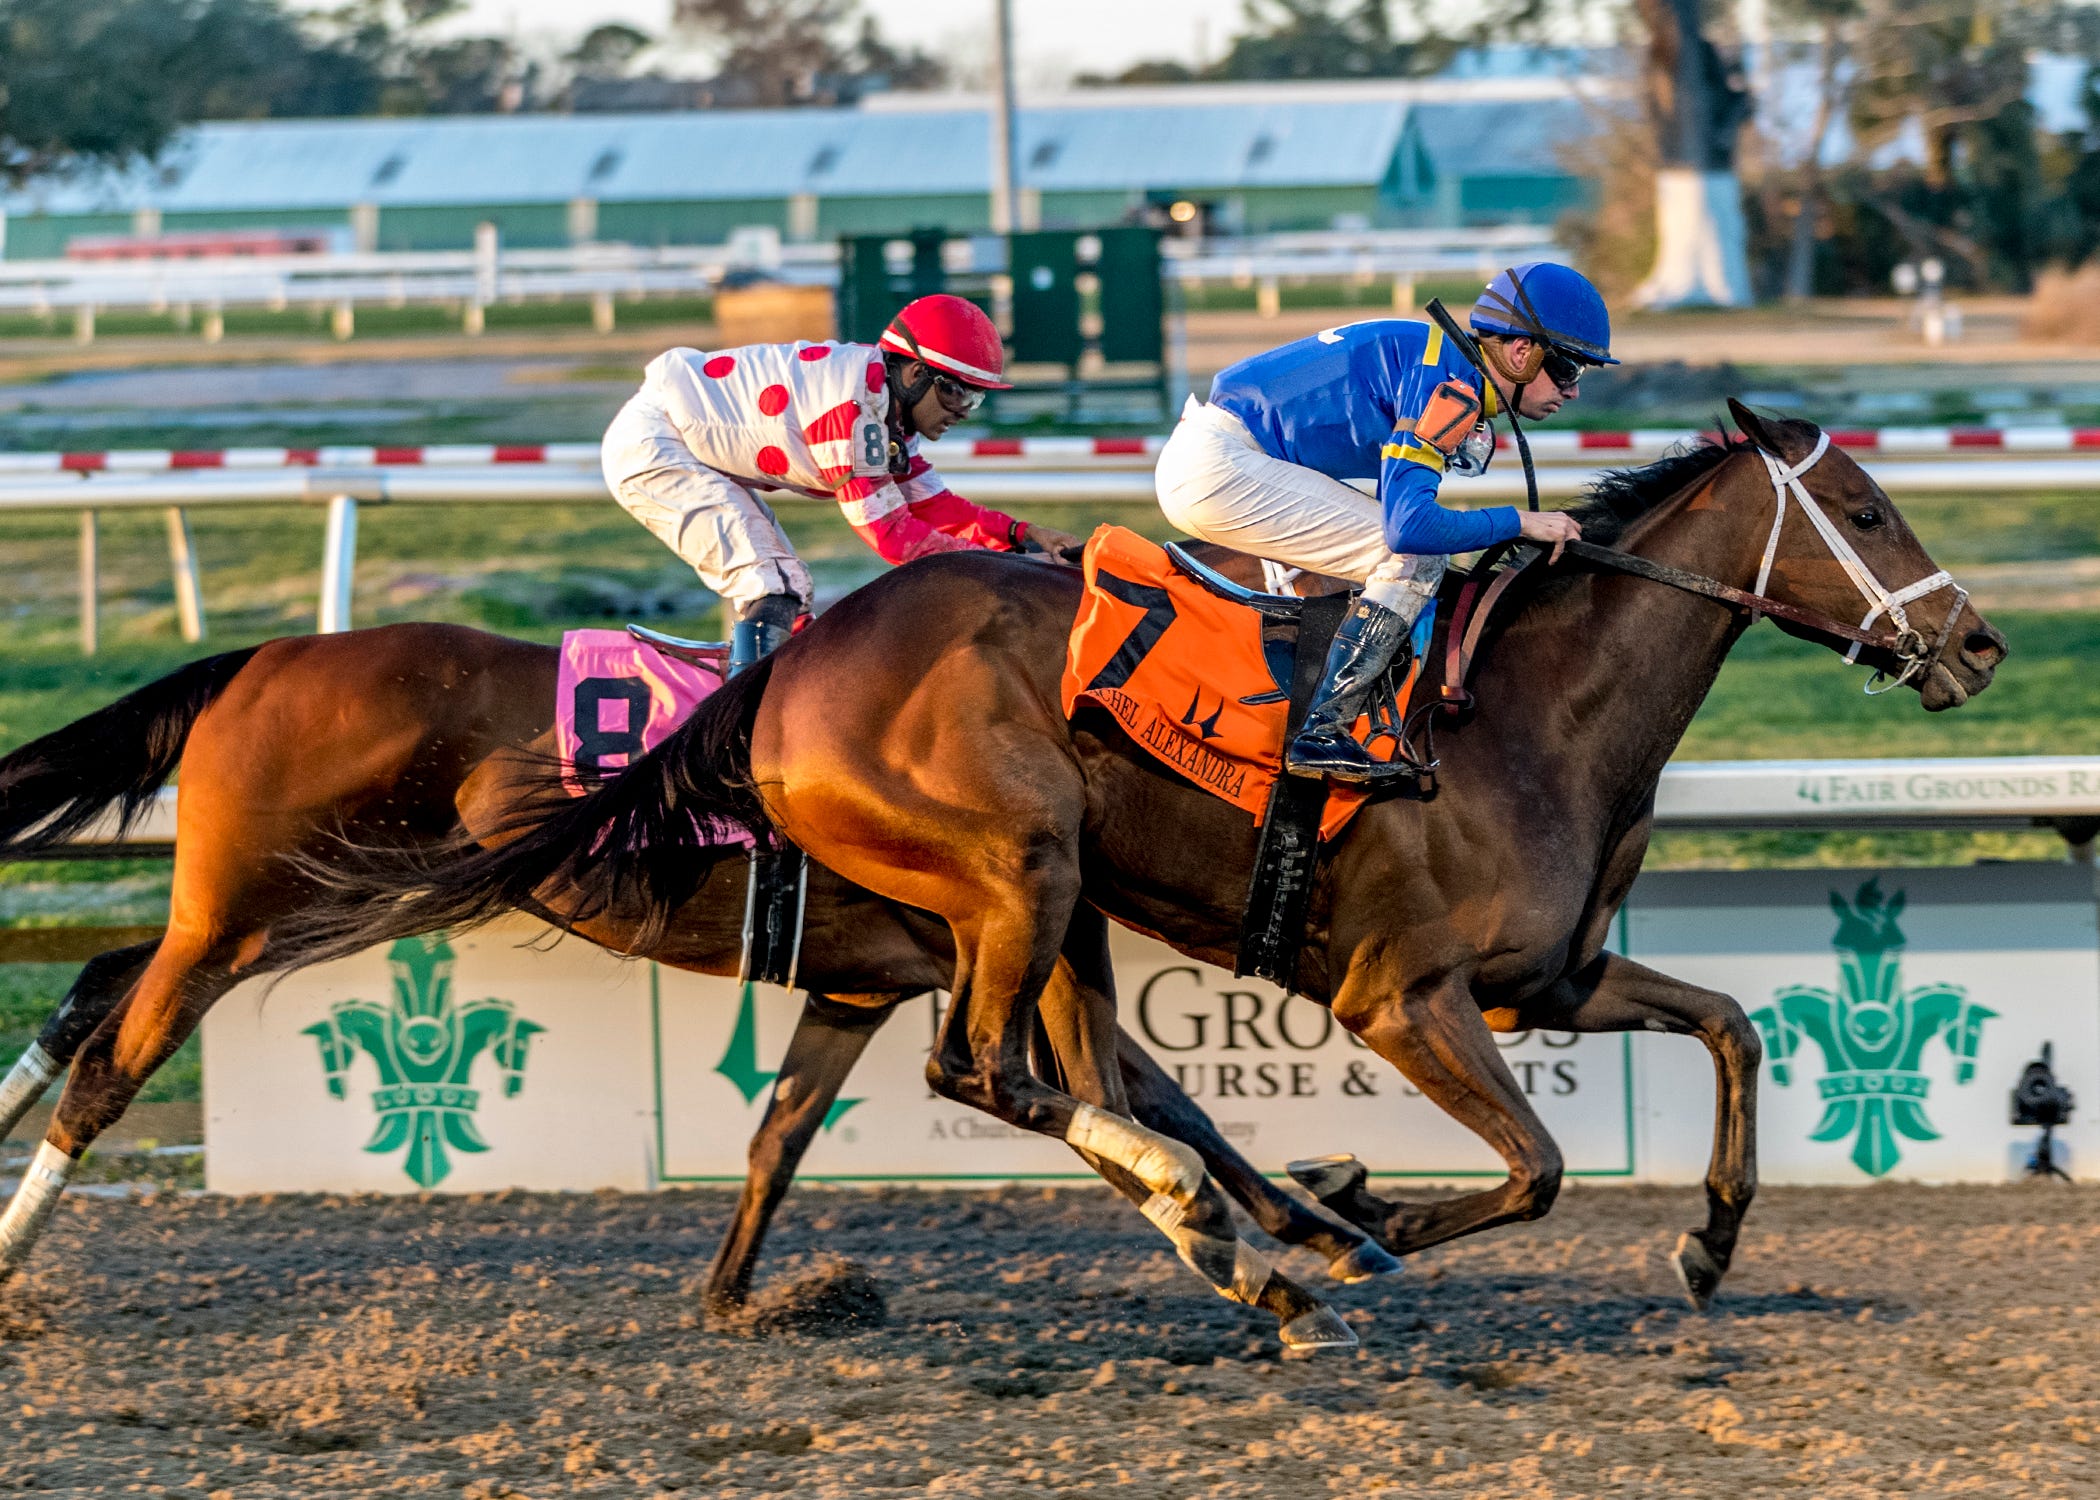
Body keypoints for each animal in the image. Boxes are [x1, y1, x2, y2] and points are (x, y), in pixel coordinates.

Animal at [0, 550, 1394, 1310]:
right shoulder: (984, 941)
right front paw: (1300, 1231)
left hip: (315, 901)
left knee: (103, 980)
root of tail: (262, 658)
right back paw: (17, 1245)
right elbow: (1156, 1105)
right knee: (116, 1061)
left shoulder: (874, 979)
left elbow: (791, 1131)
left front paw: (1325, 1221)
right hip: (252, 909)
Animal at [291, 401, 1999, 1344]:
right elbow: (1533, 1168)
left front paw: (1708, 1241)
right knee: (987, 1072)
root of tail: (784, 671)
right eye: (1863, 508)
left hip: (1061, 912)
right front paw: (1361, 1219)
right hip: (1022, 867)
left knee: (1052, 1078)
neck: (1526, 715)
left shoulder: (1553, 978)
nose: (1975, 645)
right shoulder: (1402, 997)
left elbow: (1733, 1024)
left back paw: (1229, 1236)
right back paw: (1240, 1237)